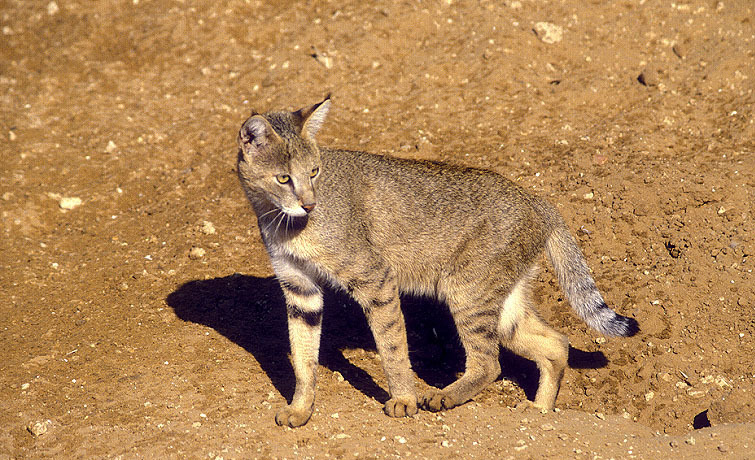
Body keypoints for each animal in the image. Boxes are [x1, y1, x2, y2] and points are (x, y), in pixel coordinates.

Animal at [235, 97, 636, 428]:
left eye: (315, 172)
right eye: (283, 178)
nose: (309, 204)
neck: (282, 221)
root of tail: (535, 198)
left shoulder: (376, 280)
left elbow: (392, 348)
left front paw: (403, 400)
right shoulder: (300, 291)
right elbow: (304, 359)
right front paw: (301, 409)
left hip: (467, 292)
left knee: (490, 362)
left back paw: (446, 395)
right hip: (504, 306)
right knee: (556, 344)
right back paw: (540, 410)